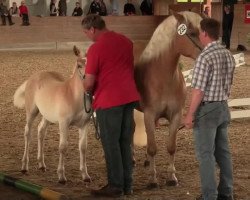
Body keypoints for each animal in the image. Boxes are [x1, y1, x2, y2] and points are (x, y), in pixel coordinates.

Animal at [13, 47, 92, 184]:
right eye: (79, 65)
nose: (88, 82)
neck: (73, 96)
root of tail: (34, 76)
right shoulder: (63, 123)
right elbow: (63, 147)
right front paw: (61, 177)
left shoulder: (84, 125)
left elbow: (83, 147)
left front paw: (85, 175)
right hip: (31, 112)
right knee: (28, 133)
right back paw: (24, 167)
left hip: (47, 115)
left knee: (41, 130)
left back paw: (41, 165)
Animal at [135, 10, 203, 186]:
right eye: (192, 33)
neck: (163, 78)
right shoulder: (149, 115)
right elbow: (152, 148)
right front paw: (153, 179)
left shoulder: (176, 116)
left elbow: (171, 147)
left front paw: (172, 177)